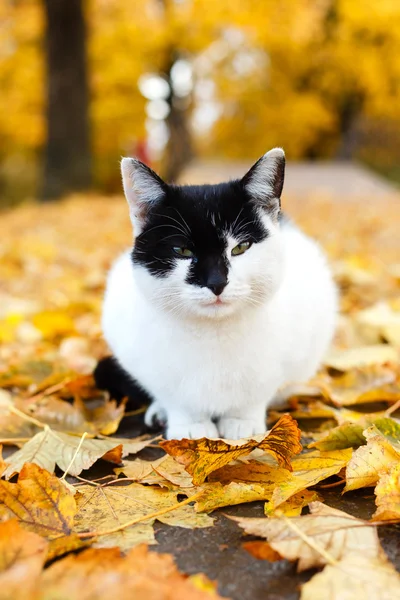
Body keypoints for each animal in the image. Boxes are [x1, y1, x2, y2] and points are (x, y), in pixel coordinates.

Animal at [100, 150, 338, 440]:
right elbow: (176, 398)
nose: (216, 282)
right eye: (181, 251)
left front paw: (242, 422)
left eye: (241, 247)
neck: (214, 334)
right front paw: (190, 426)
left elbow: (256, 395)